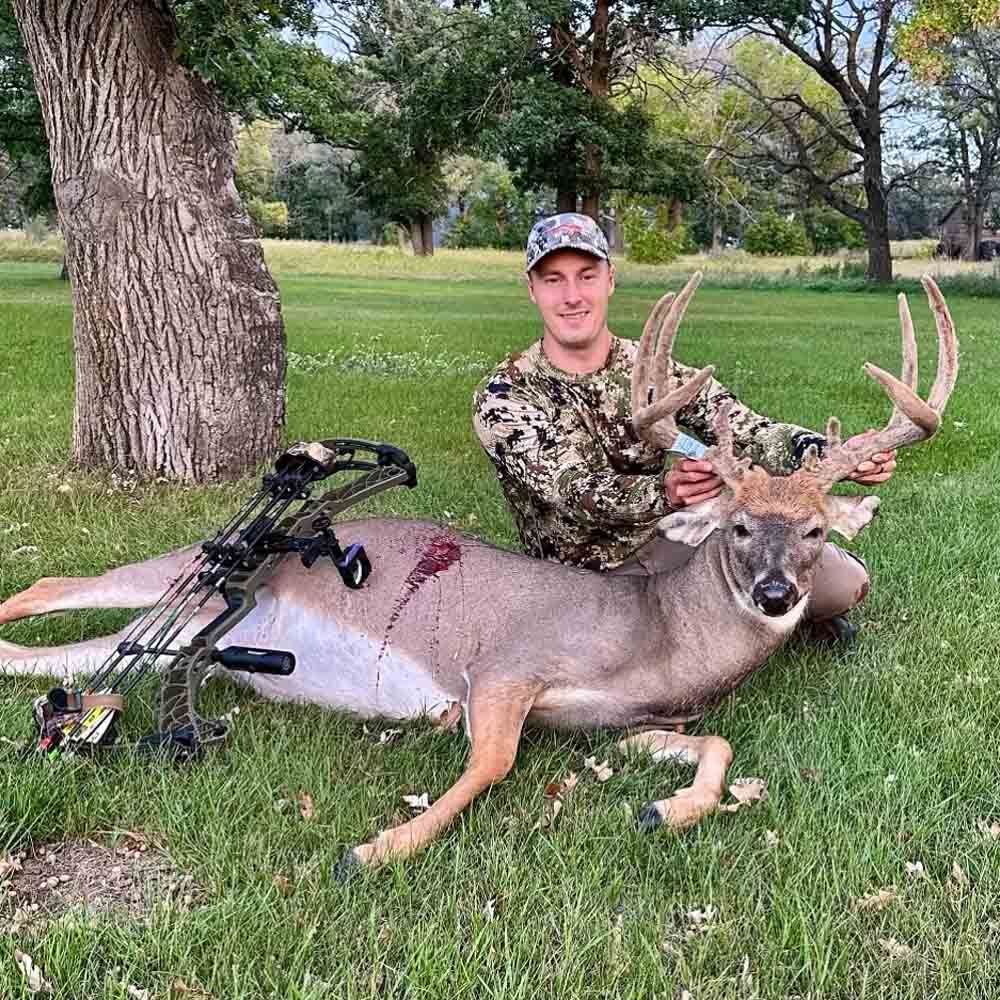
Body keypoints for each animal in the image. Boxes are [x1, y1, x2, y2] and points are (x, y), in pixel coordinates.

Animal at [0, 275, 958, 876]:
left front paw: (664, 808)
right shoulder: (503, 665)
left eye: (814, 530)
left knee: (71, 659)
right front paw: (371, 851)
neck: (651, 637)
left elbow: (717, 748)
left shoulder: (618, 723)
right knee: (51, 591)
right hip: (196, 575)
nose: (776, 593)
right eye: (739, 526)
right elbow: (490, 764)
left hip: (182, 637)